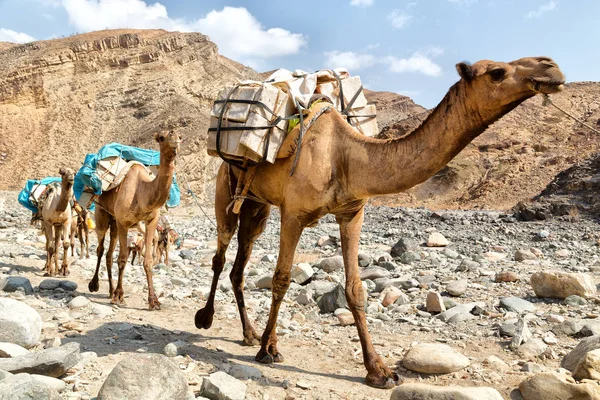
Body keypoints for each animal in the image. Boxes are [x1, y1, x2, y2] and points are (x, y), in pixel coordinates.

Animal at [88, 131, 179, 310]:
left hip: (114, 223)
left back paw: (110, 291)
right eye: (162, 137)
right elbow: (122, 259)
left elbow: (148, 260)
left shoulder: (151, 222)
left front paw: (154, 301)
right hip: (102, 214)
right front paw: (119, 296)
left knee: (109, 254)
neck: (141, 192)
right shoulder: (124, 222)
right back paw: (95, 285)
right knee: (101, 249)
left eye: (179, 136)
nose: (175, 139)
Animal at [197, 57, 568, 388]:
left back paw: (248, 333)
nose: (551, 66)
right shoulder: (294, 214)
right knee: (220, 255)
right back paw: (207, 318)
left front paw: (379, 371)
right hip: (225, 189)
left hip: (256, 206)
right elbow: (281, 280)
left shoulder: (351, 213)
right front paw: (269, 350)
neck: (343, 156)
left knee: (239, 264)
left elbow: (355, 290)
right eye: (497, 72)